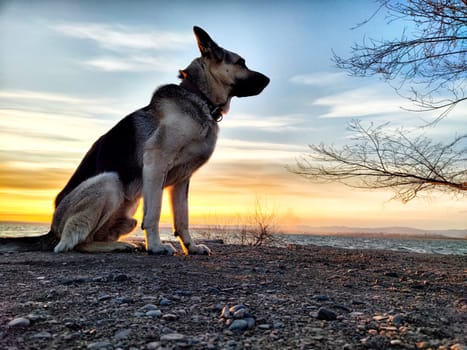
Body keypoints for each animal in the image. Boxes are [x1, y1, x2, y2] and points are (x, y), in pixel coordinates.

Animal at [1, 25, 270, 254]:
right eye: (241, 62)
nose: (268, 80)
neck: (199, 98)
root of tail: (51, 230)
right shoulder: (156, 164)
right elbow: (154, 213)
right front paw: (156, 246)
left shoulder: (182, 179)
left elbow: (182, 218)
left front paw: (191, 247)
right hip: (109, 181)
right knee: (76, 243)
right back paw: (120, 246)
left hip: (127, 215)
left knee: (93, 236)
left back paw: (125, 244)